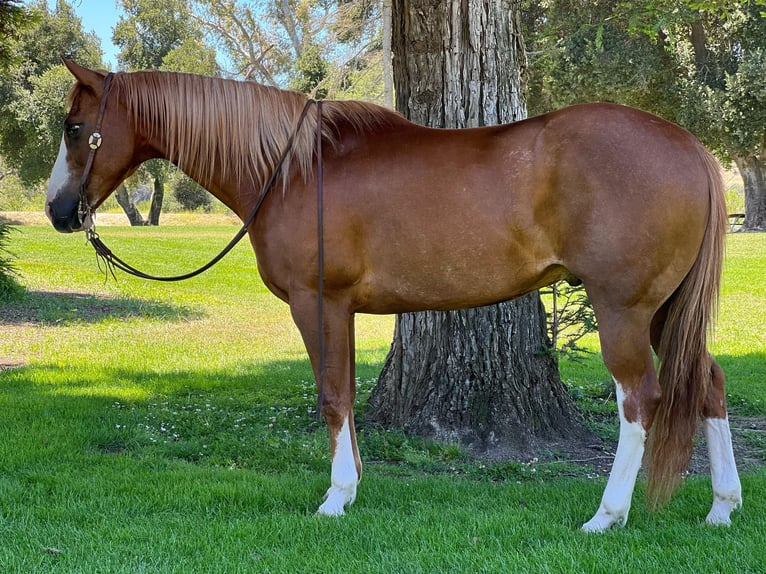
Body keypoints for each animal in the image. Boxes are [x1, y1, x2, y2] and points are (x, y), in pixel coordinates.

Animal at [45, 60, 740, 532]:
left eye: (75, 128)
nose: (57, 210)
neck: (293, 169)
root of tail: (688, 146)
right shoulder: (343, 311)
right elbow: (347, 396)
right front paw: (352, 488)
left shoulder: (317, 303)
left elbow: (331, 397)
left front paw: (334, 498)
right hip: (666, 311)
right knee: (708, 383)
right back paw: (722, 508)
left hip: (624, 308)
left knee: (640, 400)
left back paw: (608, 514)